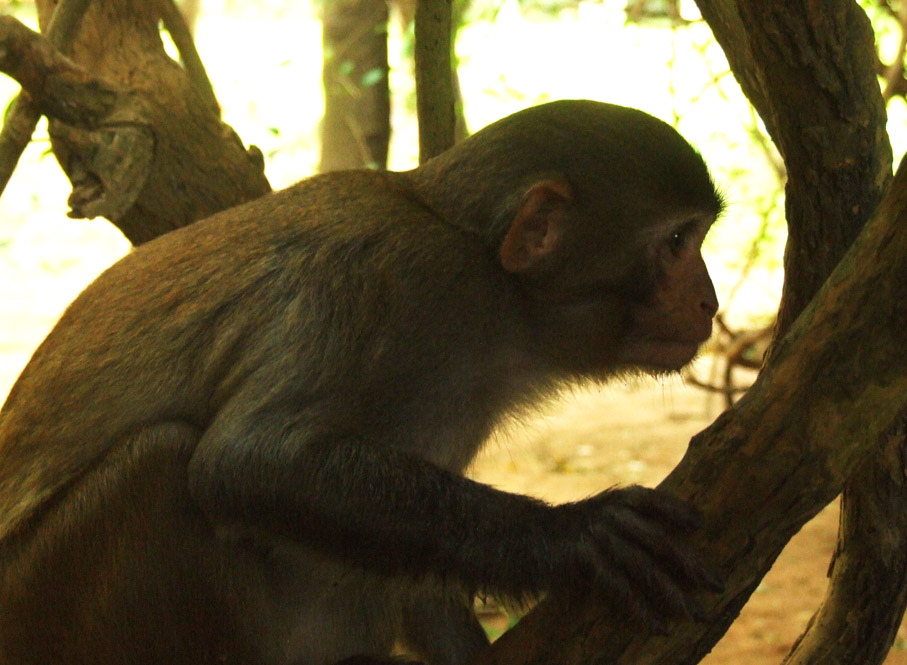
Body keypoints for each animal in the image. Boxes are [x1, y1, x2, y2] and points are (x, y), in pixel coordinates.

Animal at [0, 100, 724, 664]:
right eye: (675, 242)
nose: (709, 302)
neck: (490, 281)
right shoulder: (394, 275)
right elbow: (246, 458)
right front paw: (575, 536)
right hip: (41, 609)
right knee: (160, 463)